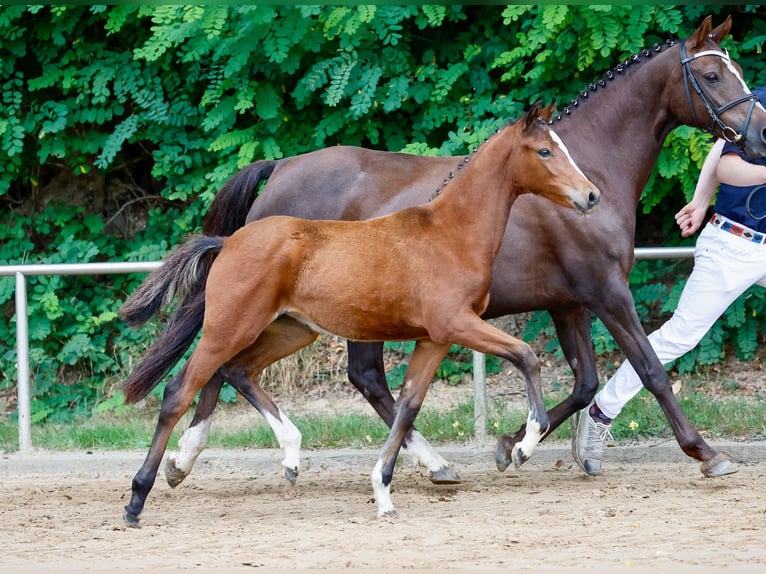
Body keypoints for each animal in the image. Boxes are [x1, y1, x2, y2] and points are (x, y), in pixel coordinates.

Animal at [120, 103, 604, 528]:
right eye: (544, 151)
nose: (591, 195)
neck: (450, 233)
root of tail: (227, 242)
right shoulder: (456, 324)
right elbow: (526, 355)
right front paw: (522, 445)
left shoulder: (434, 338)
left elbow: (408, 405)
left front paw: (384, 492)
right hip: (230, 326)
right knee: (180, 391)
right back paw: (138, 499)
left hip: (293, 331)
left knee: (238, 371)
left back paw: (290, 456)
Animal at [124, 15, 766, 488]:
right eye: (713, 75)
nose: (758, 137)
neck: (589, 168)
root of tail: (278, 169)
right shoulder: (607, 291)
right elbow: (652, 369)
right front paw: (706, 453)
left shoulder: (569, 303)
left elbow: (585, 381)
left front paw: (513, 445)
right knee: (273, 371)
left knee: (304, 375)